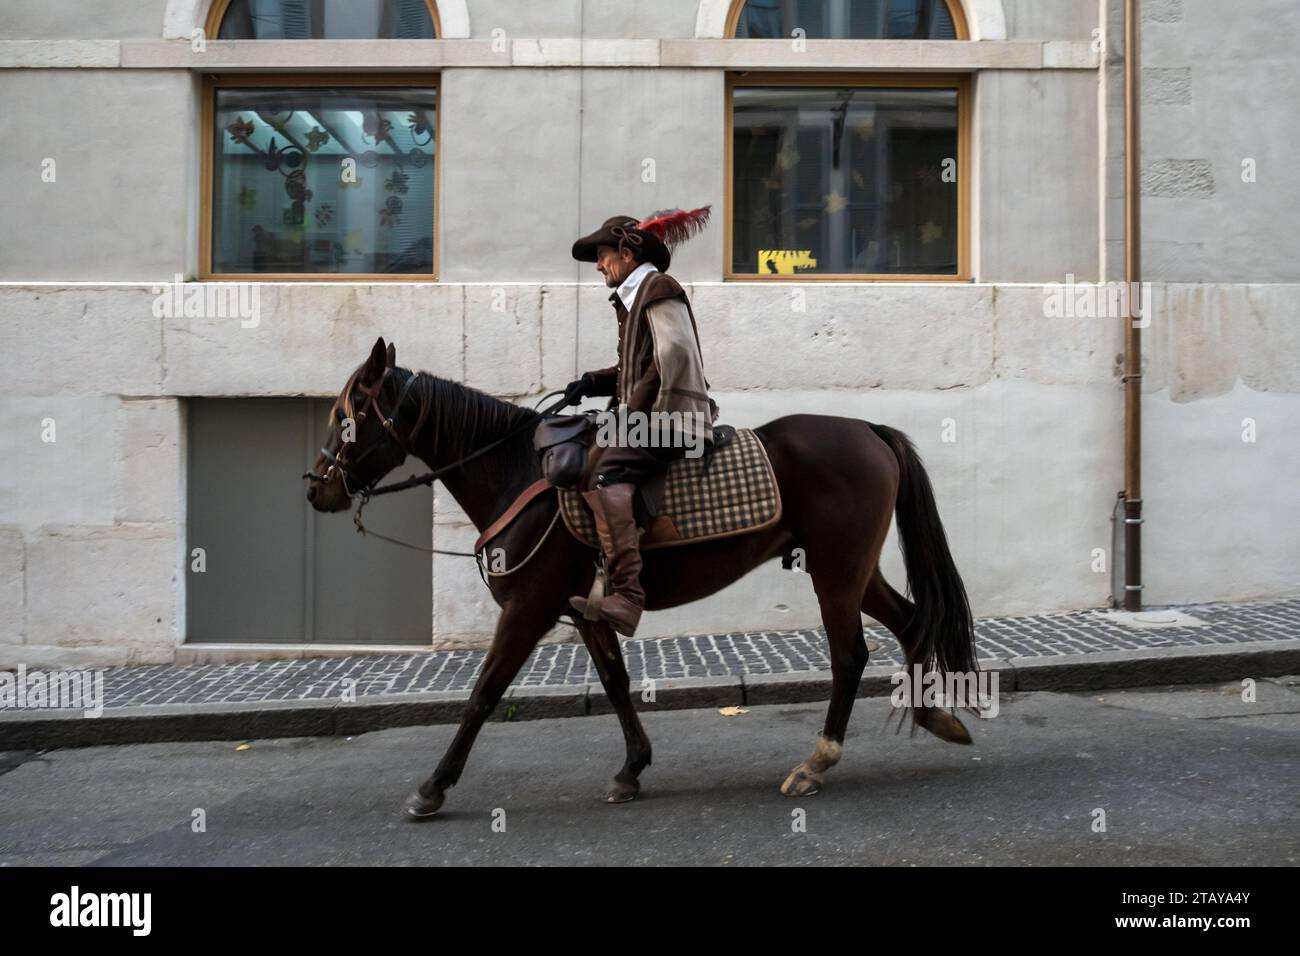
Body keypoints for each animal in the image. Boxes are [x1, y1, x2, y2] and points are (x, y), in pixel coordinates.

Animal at [304, 335, 977, 816]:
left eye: (351, 413)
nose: (316, 488)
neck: (517, 472)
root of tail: (868, 430)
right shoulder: (582, 607)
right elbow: (616, 682)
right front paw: (632, 769)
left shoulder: (528, 607)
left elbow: (483, 693)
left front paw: (433, 786)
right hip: (853, 568)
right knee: (912, 621)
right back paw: (934, 717)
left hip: (836, 571)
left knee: (849, 655)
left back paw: (817, 761)